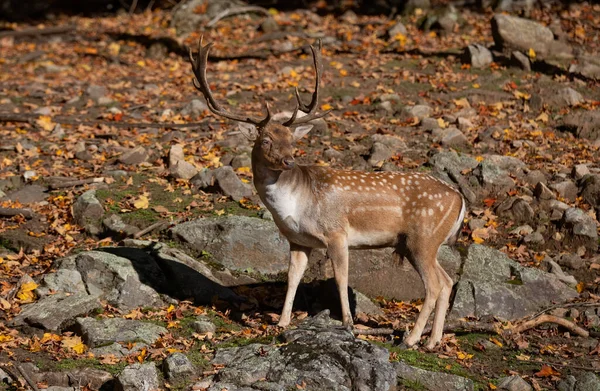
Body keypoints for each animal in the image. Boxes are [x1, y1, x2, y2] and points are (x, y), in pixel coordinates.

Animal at [190, 39, 466, 350]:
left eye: (293, 141)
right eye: (266, 140)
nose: (288, 161)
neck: (295, 204)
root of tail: (459, 198)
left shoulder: (336, 233)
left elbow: (341, 279)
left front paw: (347, 323)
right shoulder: (297, 241)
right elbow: (292, 277)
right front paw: (282, 322)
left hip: (423, 237)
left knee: (434, 285)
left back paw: (410, 339)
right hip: (418, 243)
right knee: (446, 281)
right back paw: (432, 342)